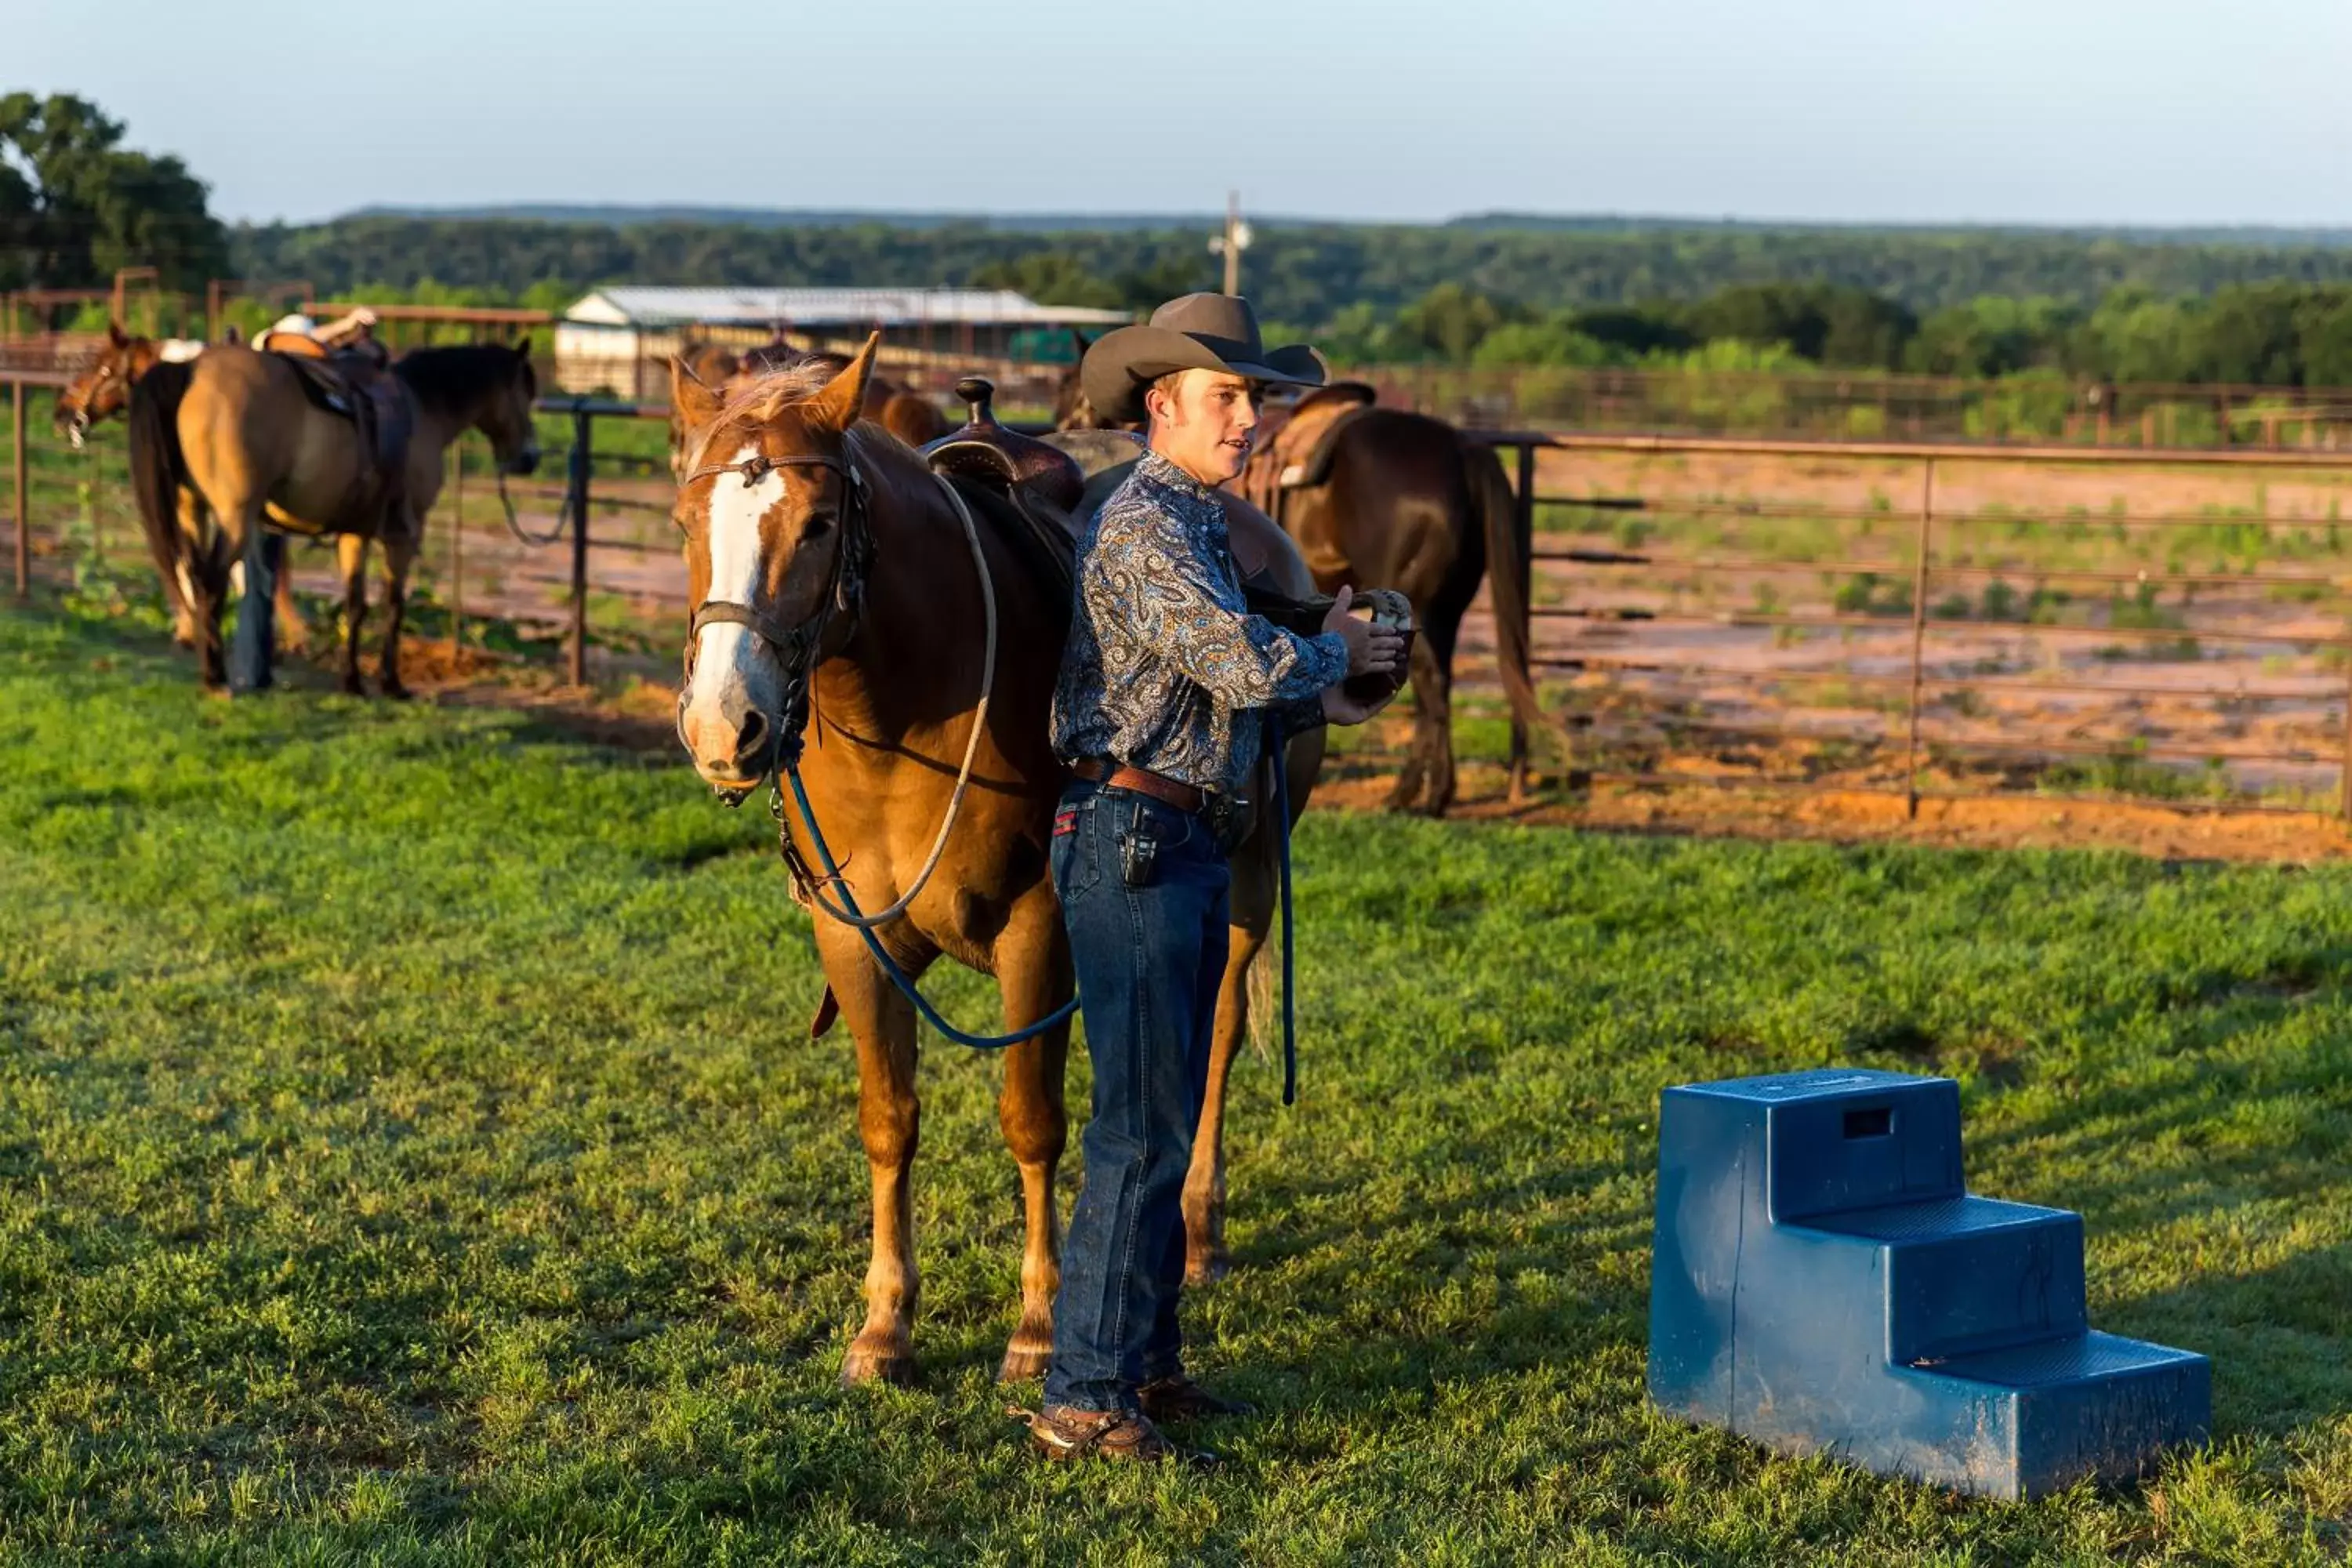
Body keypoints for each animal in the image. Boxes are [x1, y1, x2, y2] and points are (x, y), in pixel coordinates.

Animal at [134, 343, 546, 691]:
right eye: (525, 395)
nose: (530, 458)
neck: (423, 408)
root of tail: (192, 370)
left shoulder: (355, 532)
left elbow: (355, 604)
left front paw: (352, 681)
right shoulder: (404, 534)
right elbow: (393, 605)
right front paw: (391, 682)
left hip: (192, 511)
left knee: (194, 577)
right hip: (234, 518)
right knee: (211, 583)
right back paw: (215, 674)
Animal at [673, 343, 1336, 1382]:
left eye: (817, 523)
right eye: (684, 523)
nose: (720, 728)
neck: (905, 718)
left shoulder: (1040, 928)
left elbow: (1032, 1121)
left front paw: (1035, 1324)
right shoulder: (851, 939)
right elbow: (888, 1118)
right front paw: (884, 1325)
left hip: (1251, 879)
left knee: (1219, 1036)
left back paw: (1198, 1229)